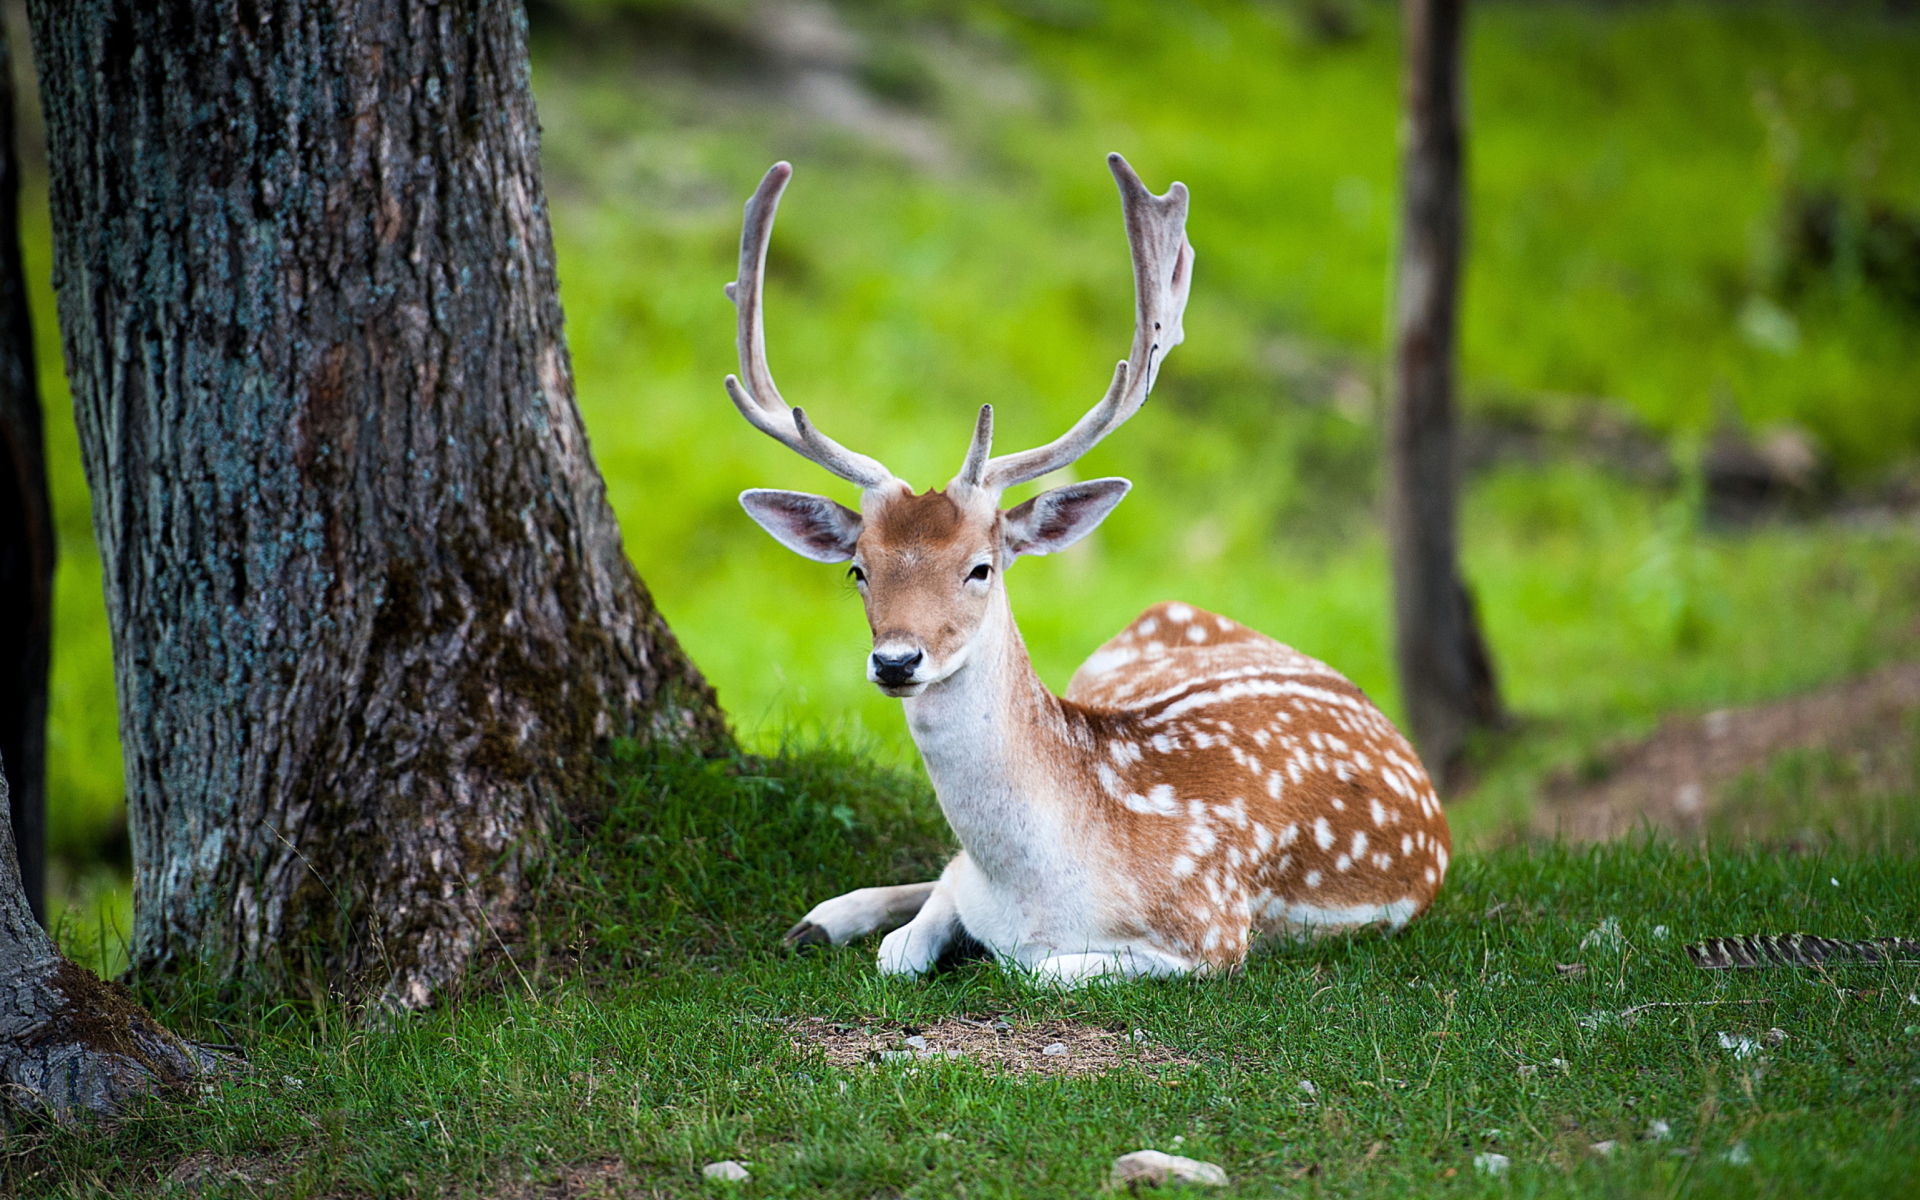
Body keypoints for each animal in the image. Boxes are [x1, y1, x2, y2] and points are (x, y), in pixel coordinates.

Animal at [725, 154, 1443, 983]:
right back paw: (820, 918)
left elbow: (1031, 968)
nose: (897, 660)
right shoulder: (968, 882)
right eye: (859, 570)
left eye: (981, 568)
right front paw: (850, 923)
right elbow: (907, 942)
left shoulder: (1213, 934)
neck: (1037, 887)